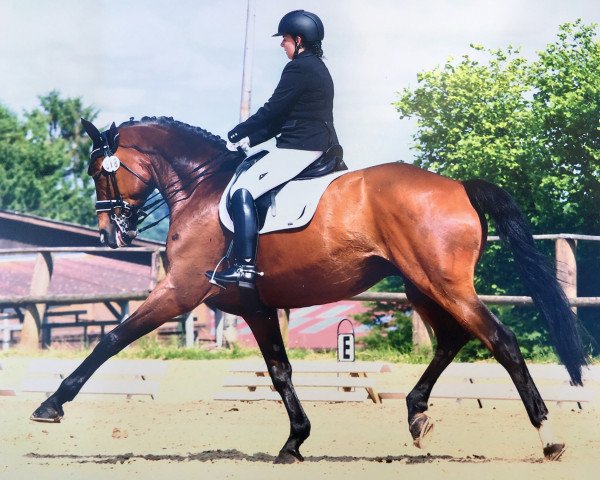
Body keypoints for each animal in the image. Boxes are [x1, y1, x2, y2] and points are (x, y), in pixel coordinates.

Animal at [29, 114, 584, 464]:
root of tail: (458, 186)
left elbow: (111, 339)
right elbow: (279, 372)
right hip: (421, 286)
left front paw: (51, 405)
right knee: (453, 339)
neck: (203, 190)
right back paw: (416, 416)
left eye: (98, 171)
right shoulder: (254, 306)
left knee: (500, 340)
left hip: (442, 283)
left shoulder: (181, 290)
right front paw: (295, 443)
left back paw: (550, 438)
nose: (110, 235)